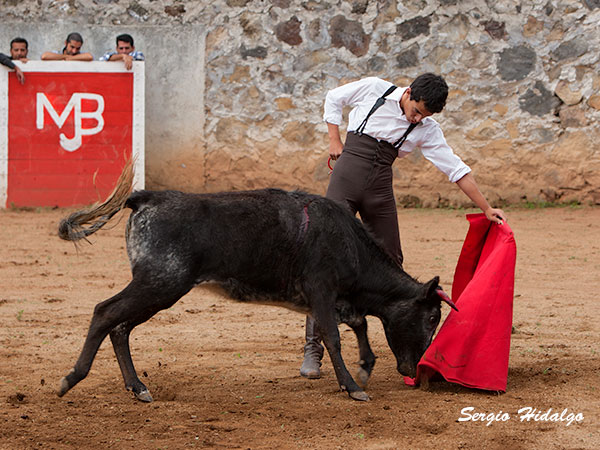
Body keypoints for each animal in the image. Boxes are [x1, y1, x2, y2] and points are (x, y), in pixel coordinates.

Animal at [57, 162, 454, 400]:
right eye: (433, 317)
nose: (417, 373)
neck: (350, 243)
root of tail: (146, 197)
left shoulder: (337, 299)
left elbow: (359, 325)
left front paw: (365, 368)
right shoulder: (322, 291)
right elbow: (334, 336)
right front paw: (354, 385)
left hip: (159, 290)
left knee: (121, 327)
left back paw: (137, 387)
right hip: (160, 282)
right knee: (105, 313)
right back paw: (71, 379)